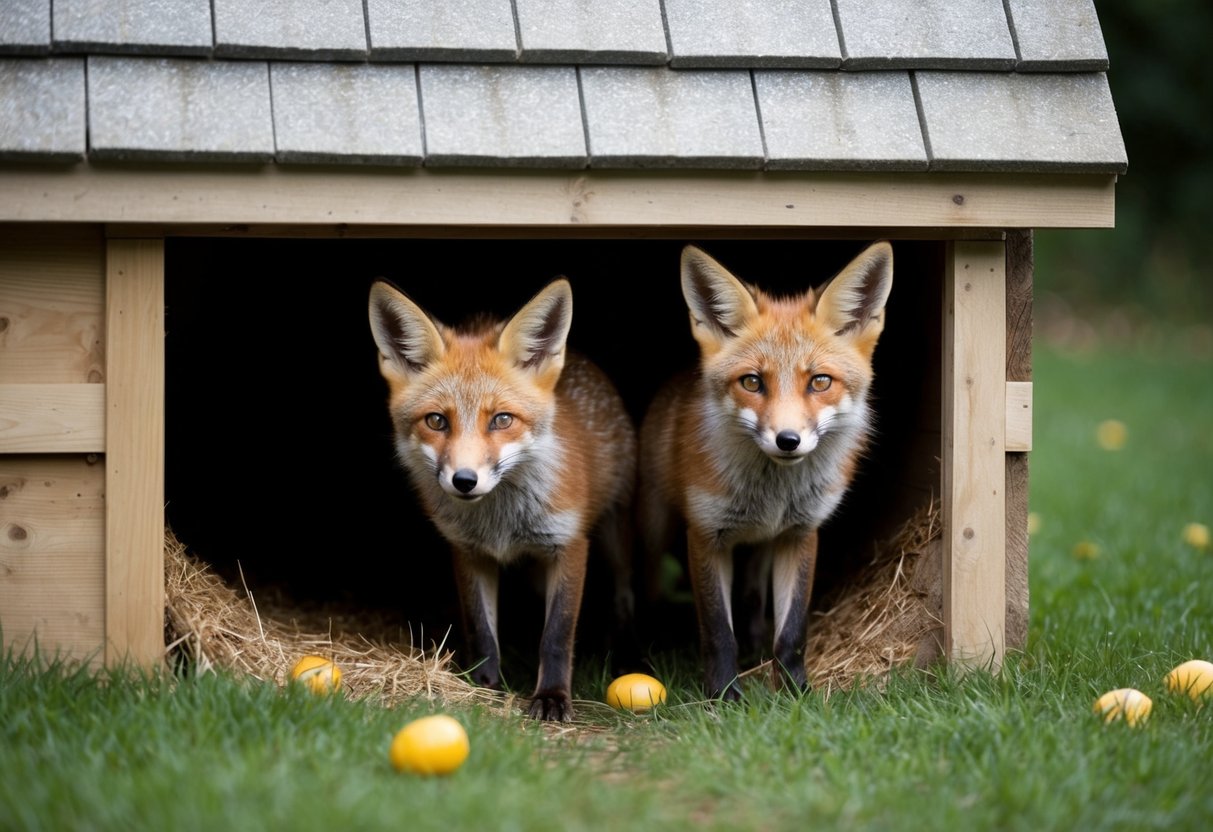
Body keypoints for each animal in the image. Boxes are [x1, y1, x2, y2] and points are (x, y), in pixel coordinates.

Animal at [367, 278, 636, 722]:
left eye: (502, 419)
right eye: (436, 421)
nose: (464, 480)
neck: (501, 523)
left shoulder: (569, 546)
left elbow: (557, 635)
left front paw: (552, 698)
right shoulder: (469, 552)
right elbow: (482, 629)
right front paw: (483, 686)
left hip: (615, 538)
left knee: (624, 597)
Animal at [637, 242, 894, 700]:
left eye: (820, 382)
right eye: (752, 382)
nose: (787, 440)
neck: (773, 496)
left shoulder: (800, 535)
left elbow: (792, 633)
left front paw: (795, 692)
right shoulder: (706, 536)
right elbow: (718, 632)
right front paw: (723, 695)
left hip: (760, 547)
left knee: (754, 595)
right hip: (655, 529)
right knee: (645, 588)